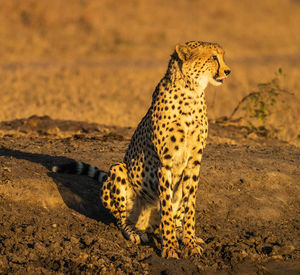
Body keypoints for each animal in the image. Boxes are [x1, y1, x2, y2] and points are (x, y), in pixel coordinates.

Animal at [52, 41, 231, 258]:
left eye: (221, 56)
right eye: (213, 57)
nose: (228, 71)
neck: (191, 92)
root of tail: (149, 225)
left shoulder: (194, 163)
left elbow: (190, 206)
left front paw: (189, 242)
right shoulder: (165, 163)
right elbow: (166, 209)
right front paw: (170, 248)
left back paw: (181, 233)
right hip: (118, 169)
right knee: (122, 219)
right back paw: (135, 232)